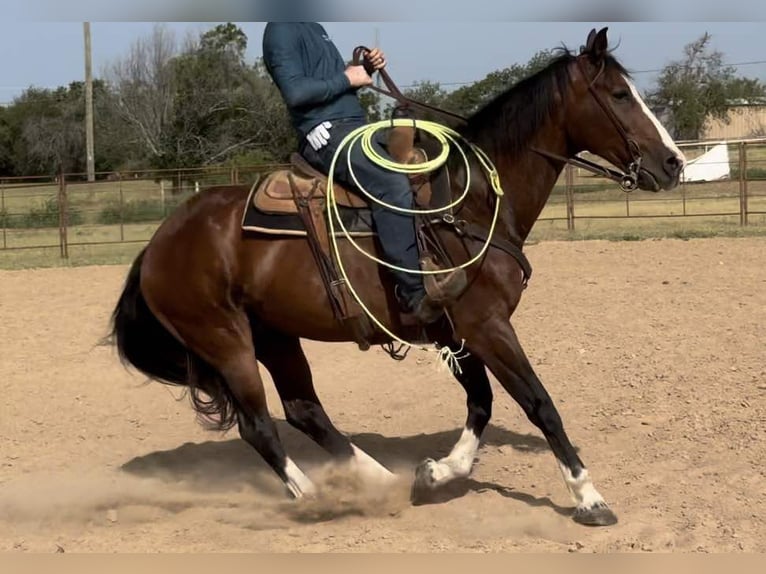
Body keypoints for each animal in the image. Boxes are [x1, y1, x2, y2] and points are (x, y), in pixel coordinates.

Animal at [110, 27, 685, 527]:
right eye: (619, 94)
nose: (674, 163)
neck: (470, 205)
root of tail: (158, 244)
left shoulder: (456, 332)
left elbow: (481, 403)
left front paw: (436, 472)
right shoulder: (486, 326)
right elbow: (539, 404)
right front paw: (589, 498)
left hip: (275, 336)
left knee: (303, 410)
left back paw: (381, 481)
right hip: (225, 339)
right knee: (259, 425)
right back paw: (316, 496)